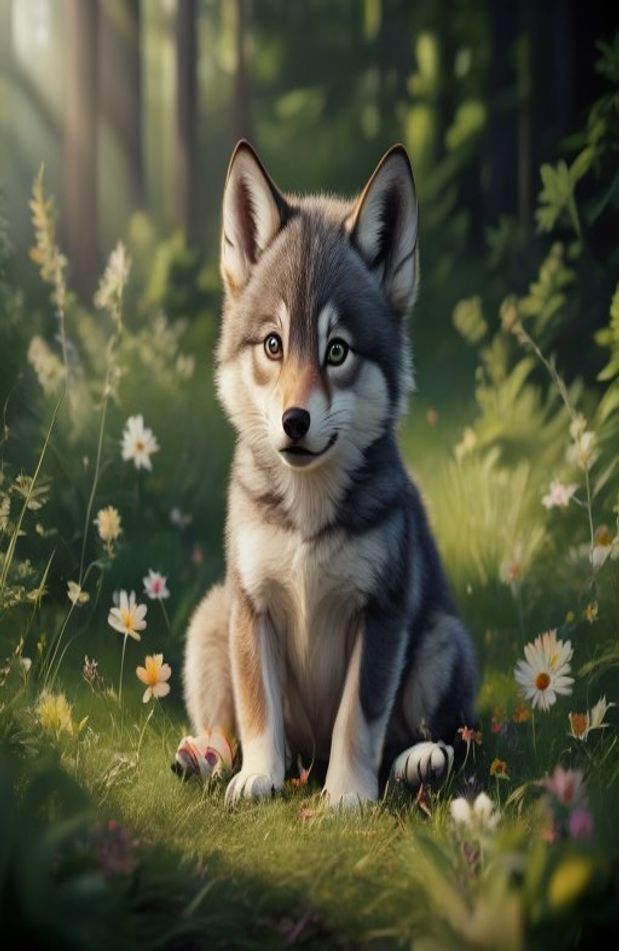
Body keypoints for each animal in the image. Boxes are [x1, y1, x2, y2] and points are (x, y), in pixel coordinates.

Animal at [175, 140, 477, 806]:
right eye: (273, 344)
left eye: (337, 351)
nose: (295, 420)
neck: (307, 512)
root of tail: (305, 758)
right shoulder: (251, 603)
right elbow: (257, 709)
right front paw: (259, 777)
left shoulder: (383, 612)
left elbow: (357, 720)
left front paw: (347, 797)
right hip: (209, 619)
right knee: (223, 723)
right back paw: (206, 756)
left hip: (442, 641)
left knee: (449, 736)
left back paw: (420, 761)